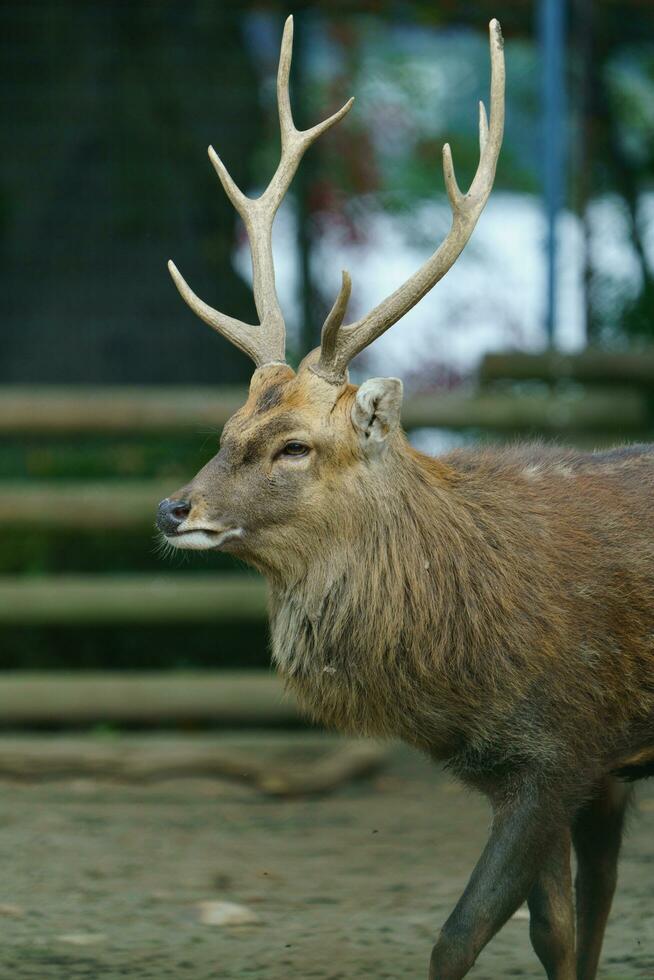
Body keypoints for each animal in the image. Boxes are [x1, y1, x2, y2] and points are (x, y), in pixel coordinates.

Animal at [158, 15, 654, 980]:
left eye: (295, 445)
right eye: (228, 425)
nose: (175, 509)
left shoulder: (564, 746)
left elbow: (461, 935)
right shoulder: (566, 769)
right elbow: (567, 931)